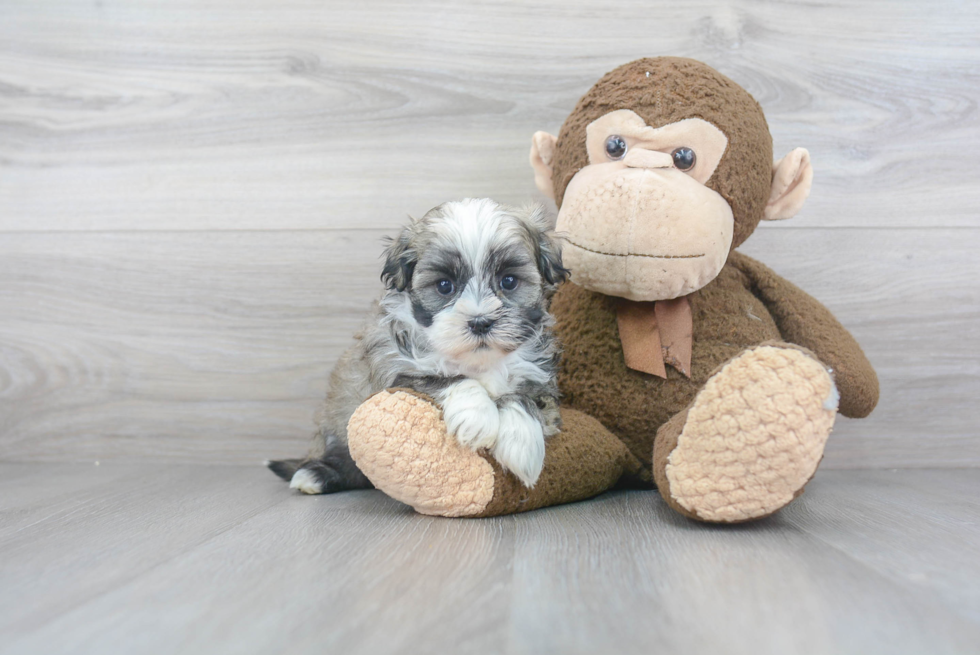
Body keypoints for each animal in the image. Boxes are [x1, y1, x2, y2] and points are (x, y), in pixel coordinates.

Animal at [272, 197, 572, 494]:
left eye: (508, 281)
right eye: (444, 286)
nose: (480, 322)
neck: (477, 361)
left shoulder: (539, 376)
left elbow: (524, 395)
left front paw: (522, 442)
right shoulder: (393, 374)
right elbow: (446, 378)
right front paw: (476, 418)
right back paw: (312, 475)